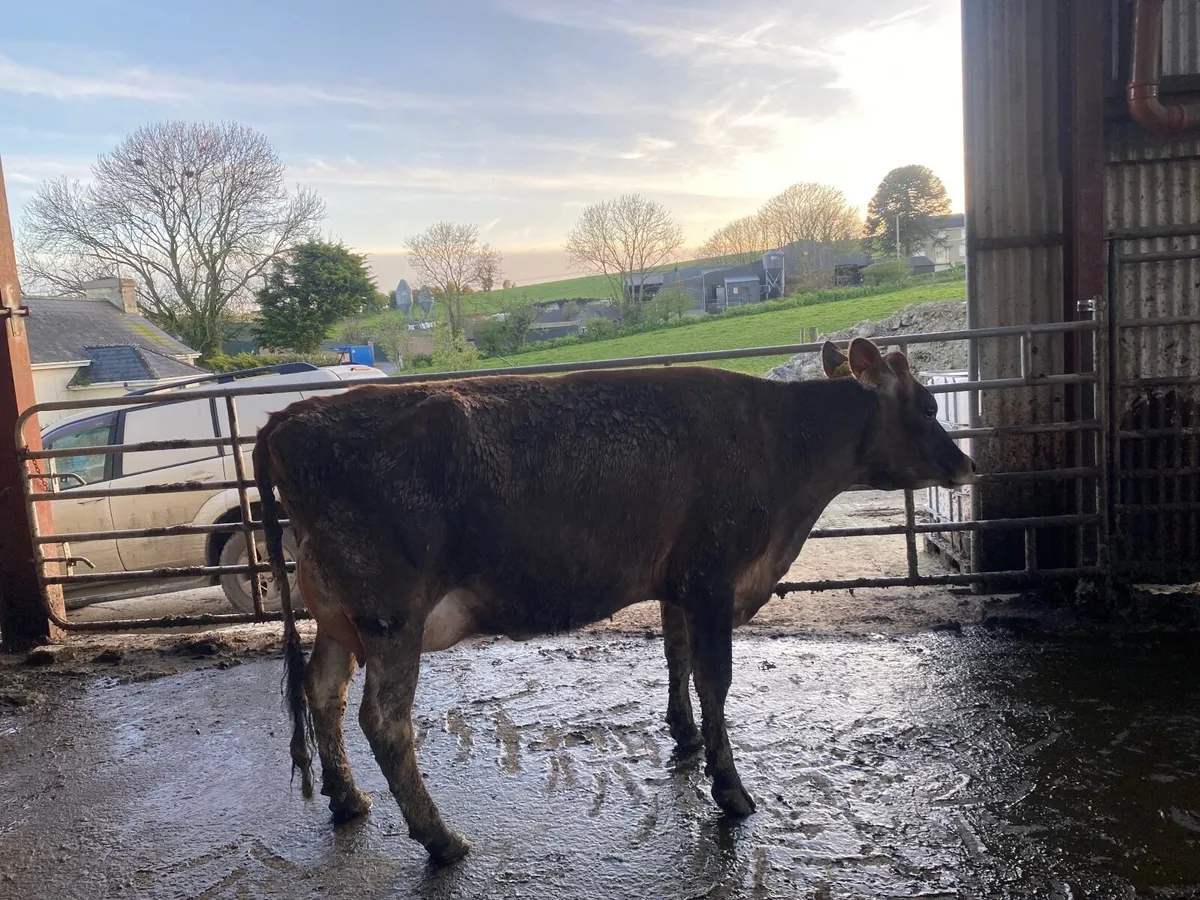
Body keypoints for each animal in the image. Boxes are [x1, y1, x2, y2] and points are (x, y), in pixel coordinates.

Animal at [253, 337, 974, 865]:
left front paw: (685, 736)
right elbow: (716, 679)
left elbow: (677, 657)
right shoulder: (714, 577)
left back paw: (347, 798)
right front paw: (731, 789)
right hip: (391, 615)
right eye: (927, 407)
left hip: (340, 614)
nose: (966, 465)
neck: (780, 444)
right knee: (384, 719)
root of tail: (289, 418)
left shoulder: (679, 581)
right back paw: (441, 839)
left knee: (324, 691)